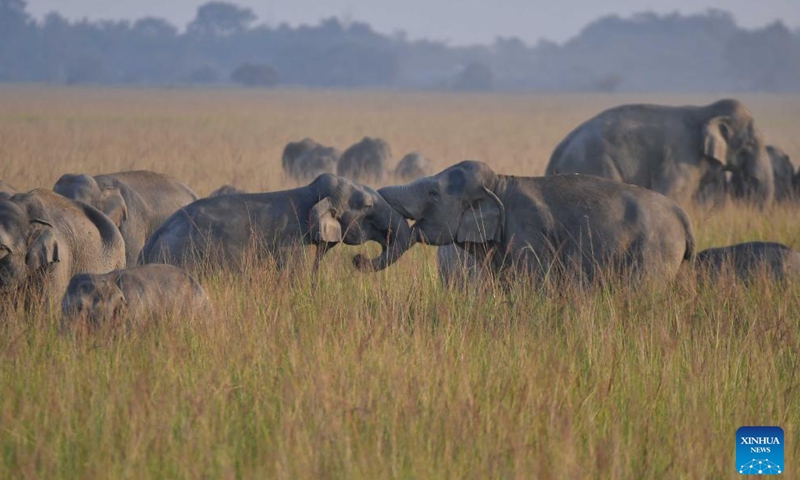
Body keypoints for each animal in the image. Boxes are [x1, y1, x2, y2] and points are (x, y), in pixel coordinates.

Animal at [544, 99, 776, 206]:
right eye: (750, 144)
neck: (706, 111)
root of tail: (558, 150)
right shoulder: (682, 159)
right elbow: (673, 194)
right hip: (596, 164)